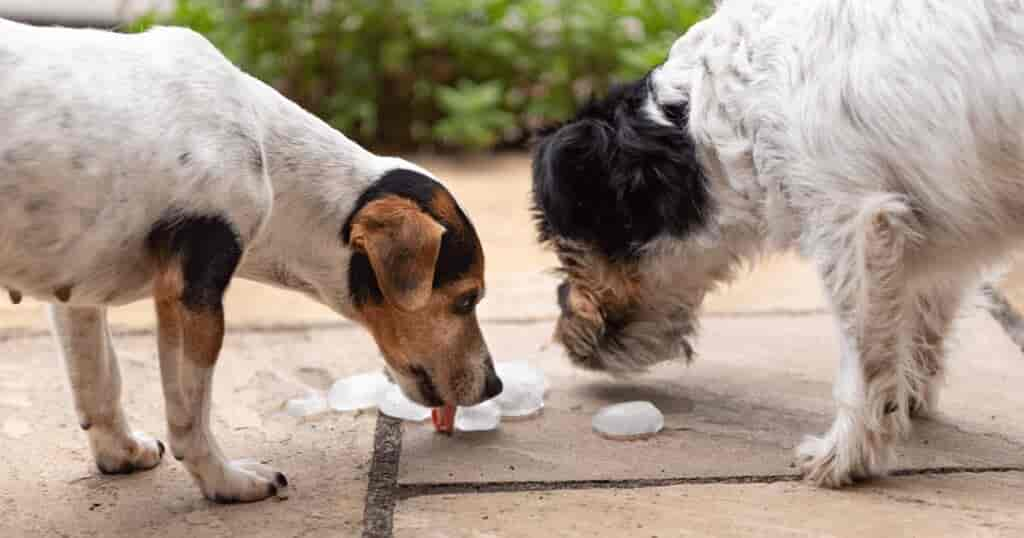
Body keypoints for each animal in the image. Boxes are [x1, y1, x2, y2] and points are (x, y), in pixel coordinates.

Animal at [0, 18, 501, 502]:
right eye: (466, 300)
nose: (495, 385)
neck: (266, 151)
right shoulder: (191, 295)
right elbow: (190, 416)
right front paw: (225, 481)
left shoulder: (75, 293)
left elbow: (99, 381)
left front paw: (119, 452)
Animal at [532, 0, 1024, 485]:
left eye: (564, 248)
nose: (561, 336)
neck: (732, 105)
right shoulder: (935, 236)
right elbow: (922, 321)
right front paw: (906, 403)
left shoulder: (855, 225)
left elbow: (864, 359)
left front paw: (845, 456)